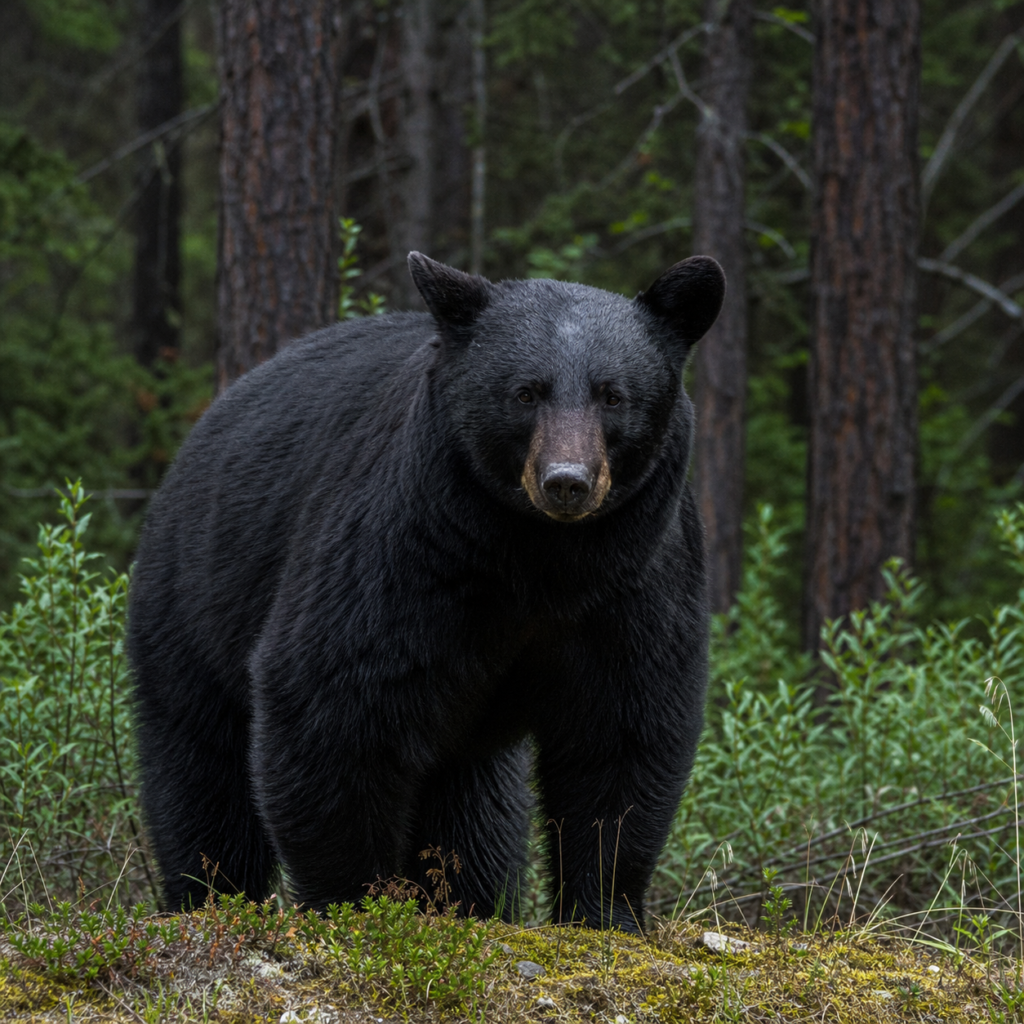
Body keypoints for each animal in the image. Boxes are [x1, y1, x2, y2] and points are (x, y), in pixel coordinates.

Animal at [127, 252, 724, 931]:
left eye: (613, 395)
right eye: (525, 391)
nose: (566, 482)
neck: (542, 560)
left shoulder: (635, 580)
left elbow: (621, 731)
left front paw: (604, 912)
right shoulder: (406, 548)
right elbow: (336, 703)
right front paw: (354, 901)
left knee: (476, 812)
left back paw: (469, 902)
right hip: (195, 601)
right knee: (202, 771)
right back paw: (208, 895)